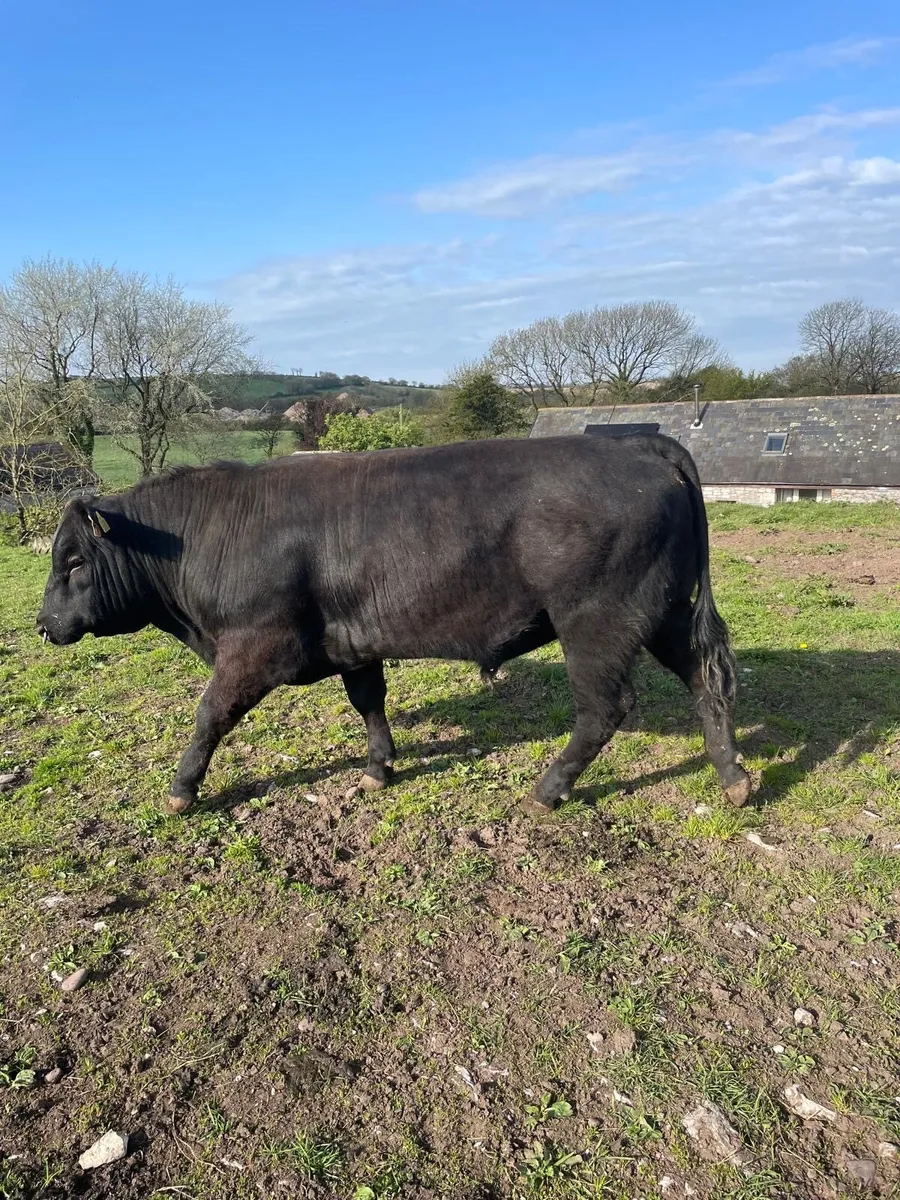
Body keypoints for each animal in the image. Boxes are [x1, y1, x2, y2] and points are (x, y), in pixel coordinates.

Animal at [36, 435, 752, 816]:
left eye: (73, 560)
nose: (43, 624)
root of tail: (634, 444)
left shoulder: (256, 646)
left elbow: (211, 714)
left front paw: (183, 788)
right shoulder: (353, 641)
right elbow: (368, 701)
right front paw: (379, 766)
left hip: (596, 624)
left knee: (605, 709)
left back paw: (547, 790)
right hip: (664, 613)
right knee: (706, 678)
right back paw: (733, 776)